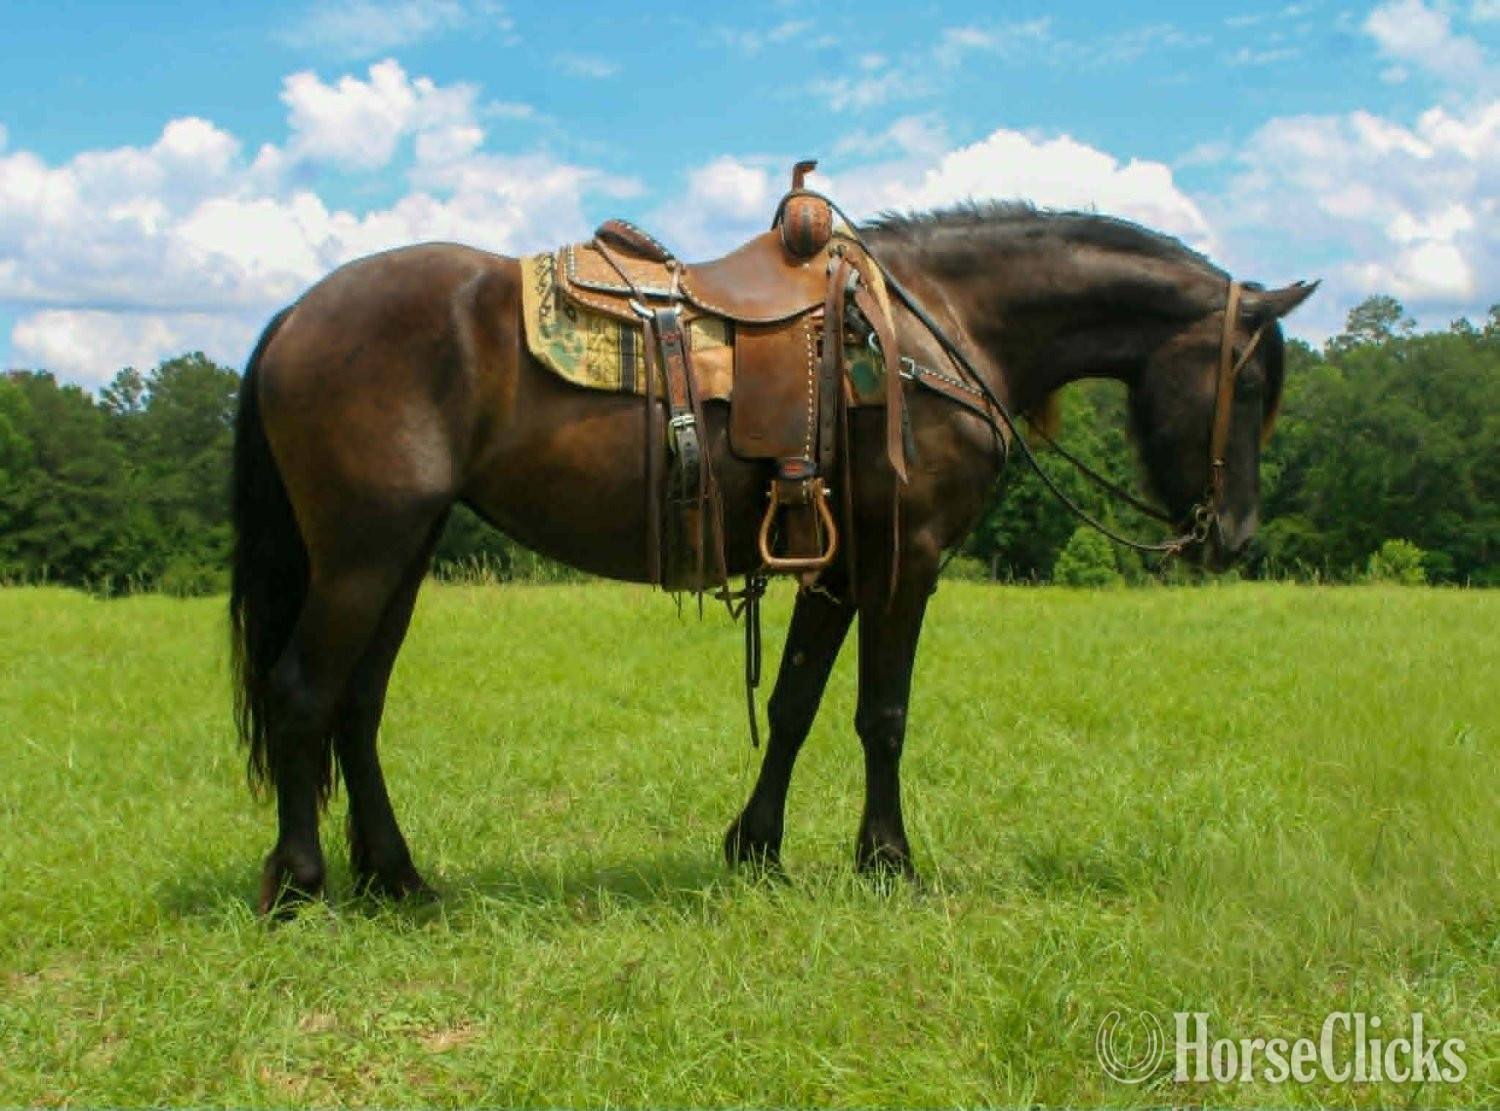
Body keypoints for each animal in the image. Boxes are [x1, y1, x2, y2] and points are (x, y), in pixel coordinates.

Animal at [229, 198, 1315, 914]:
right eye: (1256, 382)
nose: (1233, 534)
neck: (934, 330)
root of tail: (291, 315)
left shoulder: (838, 565)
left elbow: (794, 704)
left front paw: (755, 848)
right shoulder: (906, 559)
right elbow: (883, 715)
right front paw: (889, 861)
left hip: (398, 555)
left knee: (357, 707)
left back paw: (397, 876)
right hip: (363, 552)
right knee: (301, 694)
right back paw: (302, 885)